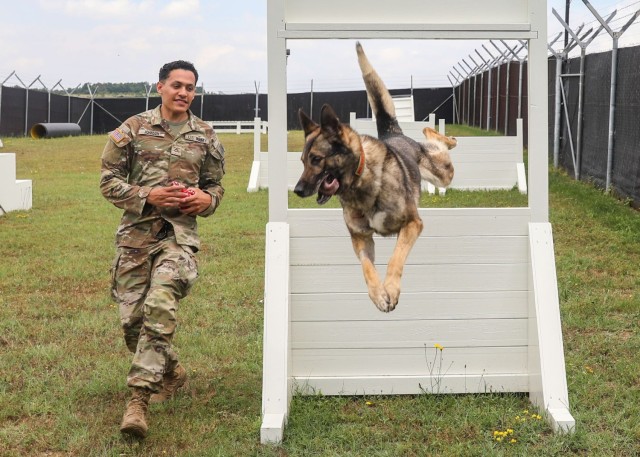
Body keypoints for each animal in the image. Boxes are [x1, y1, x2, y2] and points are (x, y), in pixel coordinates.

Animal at [296, 42, 456, 312]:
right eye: (302, 161)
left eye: (316, 159)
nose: (297, 190)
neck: (362, 181)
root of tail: (394, 134)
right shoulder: (361, 238)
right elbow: (368, 269)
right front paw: (379, 294)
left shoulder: (413, 224)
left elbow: (395, 257)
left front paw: (390, 288)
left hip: (442, 175)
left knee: (439, 143)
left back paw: (446, 137)